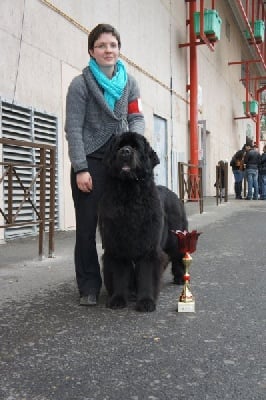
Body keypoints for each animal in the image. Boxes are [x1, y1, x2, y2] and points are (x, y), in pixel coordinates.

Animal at [98, 132, 188, 312]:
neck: (129, 195)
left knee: (177, 255)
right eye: (118, 146)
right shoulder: (116, 245)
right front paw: (118, 299)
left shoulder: (149, 246)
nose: (125, 152)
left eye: (135, 147)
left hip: (176, 237)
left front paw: (146, 301)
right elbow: (119, 274)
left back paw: (180, 277)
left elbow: (146, 274)